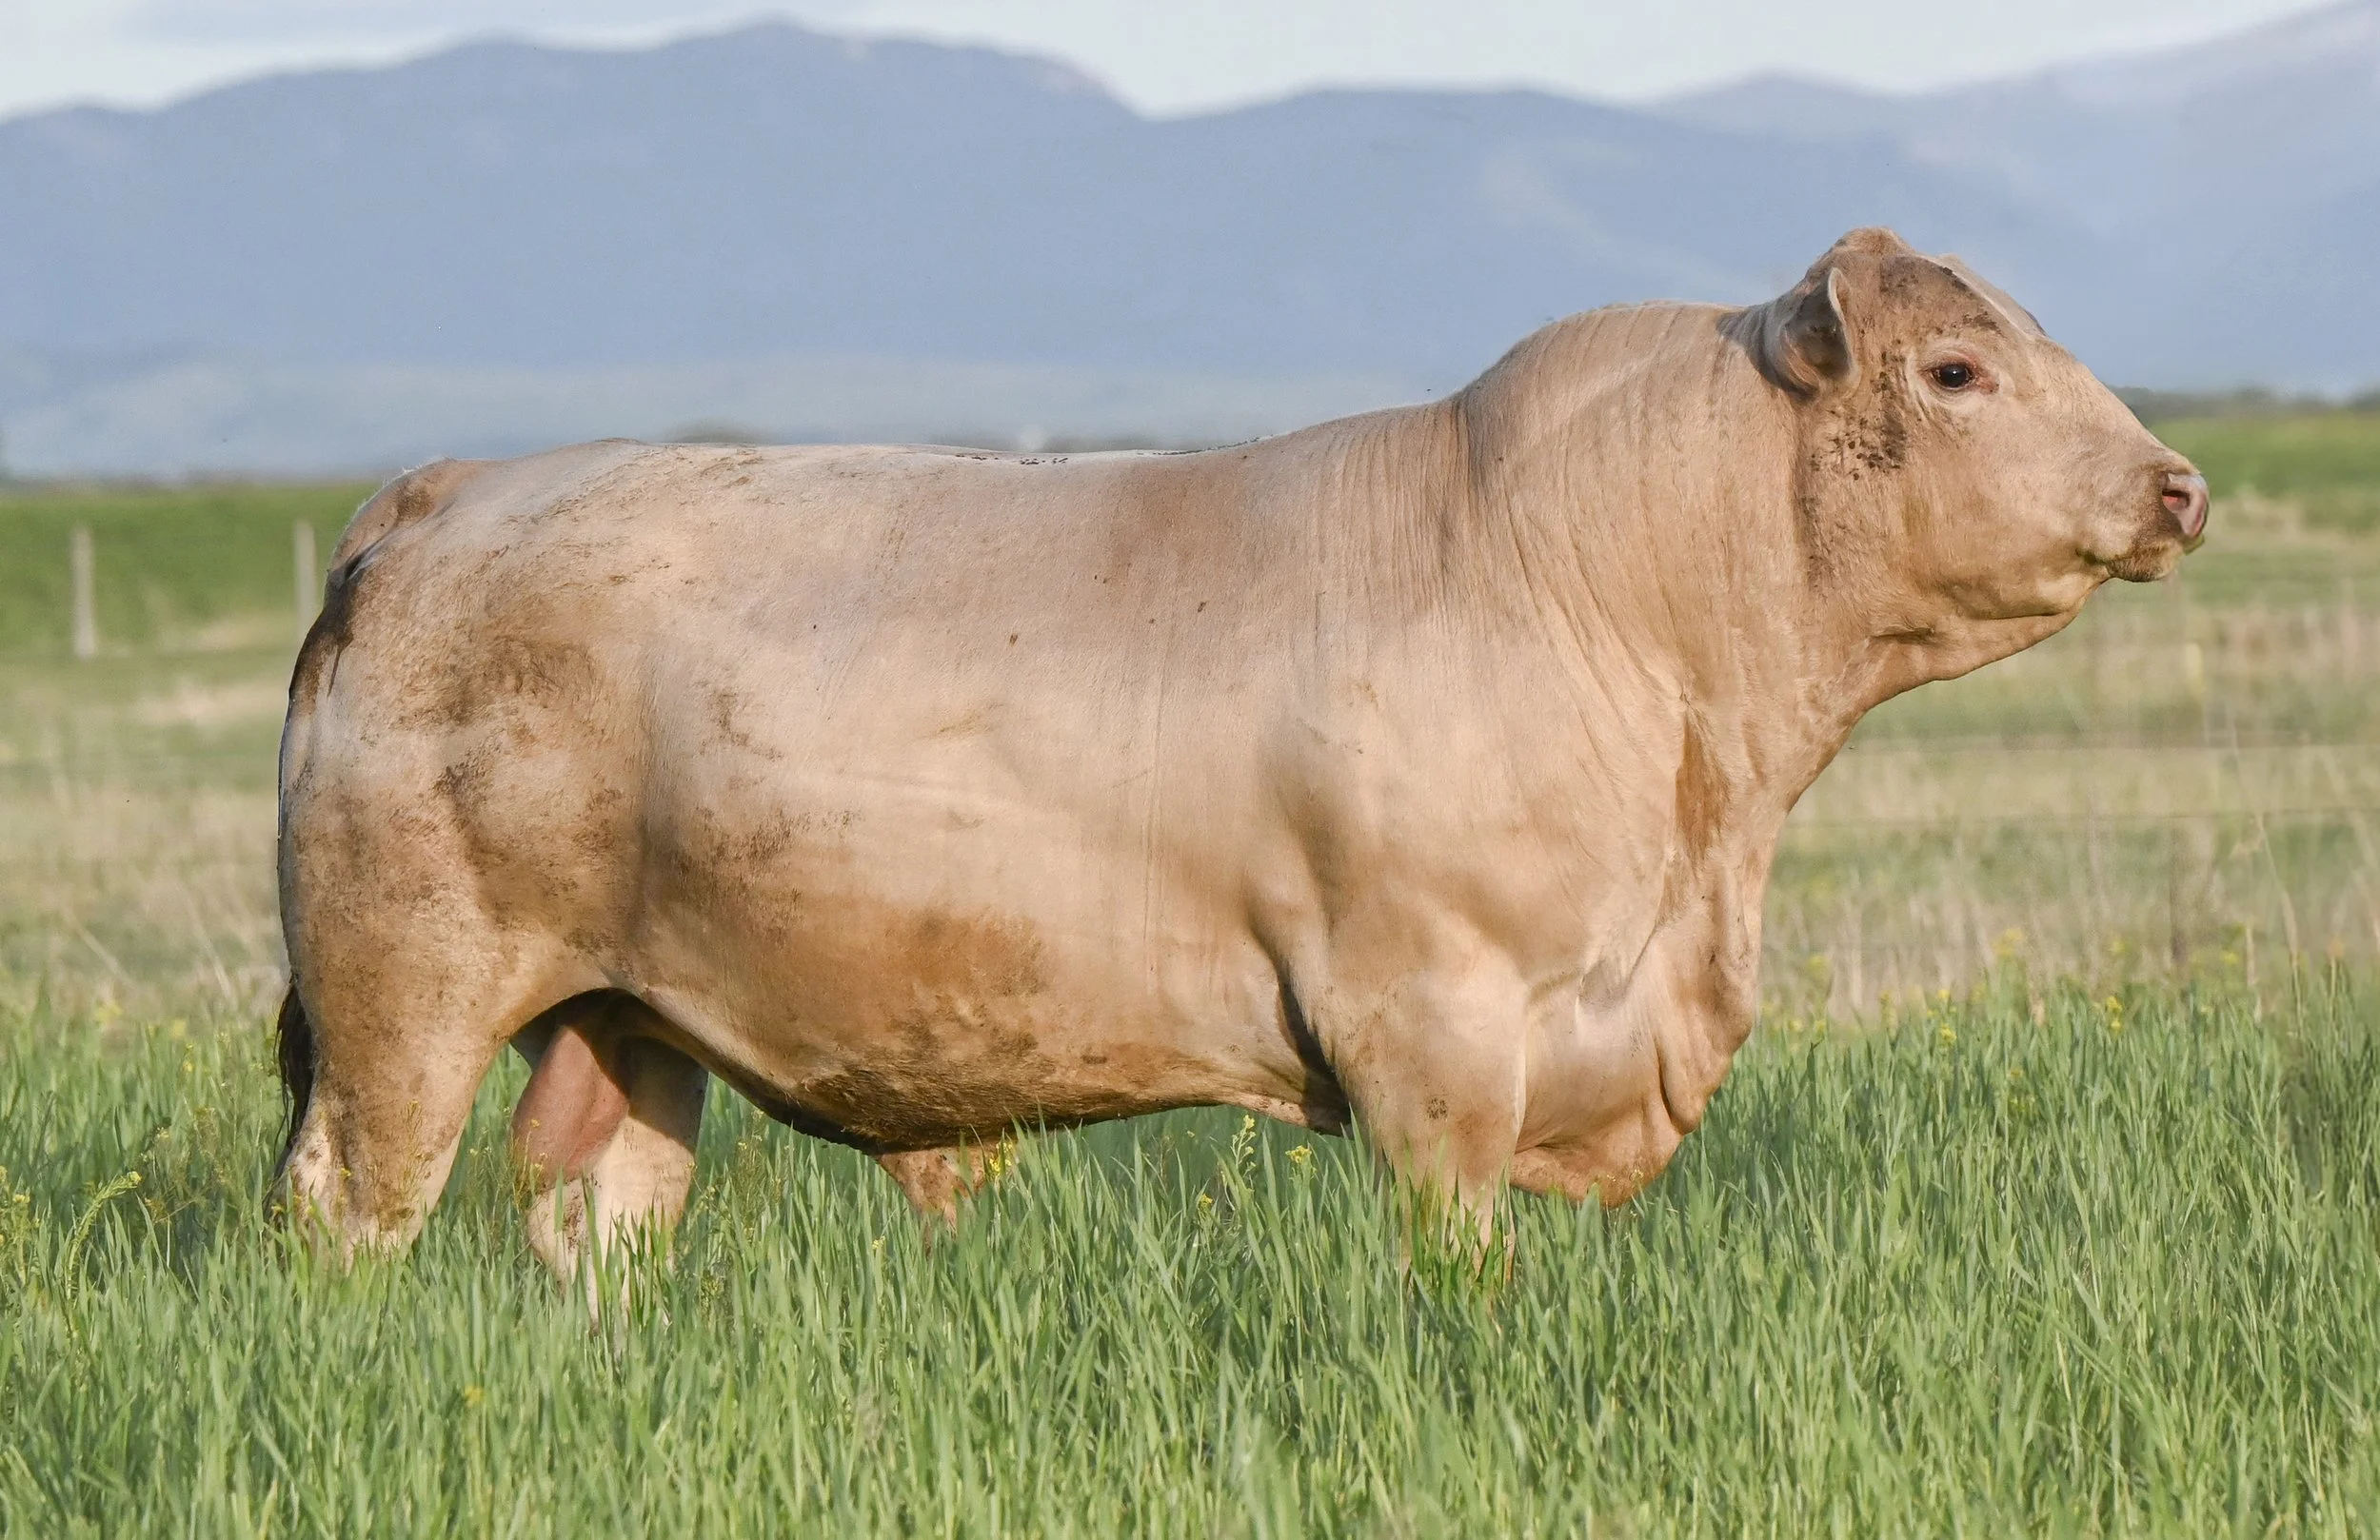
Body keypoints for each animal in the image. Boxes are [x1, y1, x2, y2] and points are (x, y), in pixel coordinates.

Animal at [271, 227, 2206, 1279]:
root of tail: (439, 494)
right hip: (400, 999)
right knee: (344, 1217)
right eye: (1956, 369)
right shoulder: (1432, 1023)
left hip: (629, 1020)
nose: (2177, 483)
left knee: (598, 1224)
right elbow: (1462, 1264)